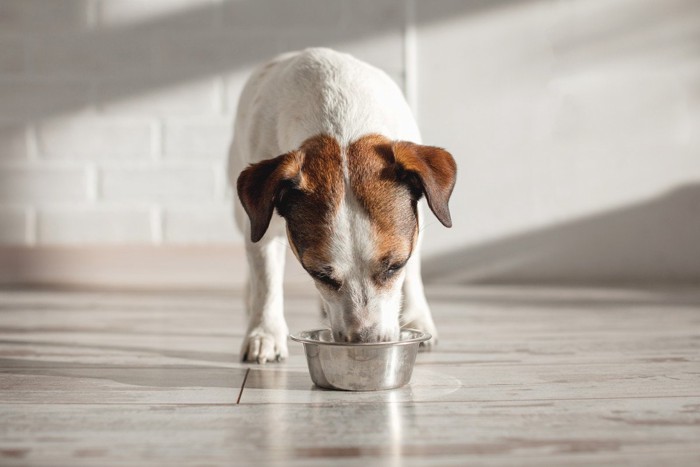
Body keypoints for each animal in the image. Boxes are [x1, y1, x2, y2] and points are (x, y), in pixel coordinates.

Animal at [230, 47, 456, 364]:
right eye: (319, 274)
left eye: (394, 266)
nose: (366, 342)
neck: (341, 123)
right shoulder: (265, 224)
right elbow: (266, 279)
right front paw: (265, 333)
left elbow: (412, 270)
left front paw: (416, 317)